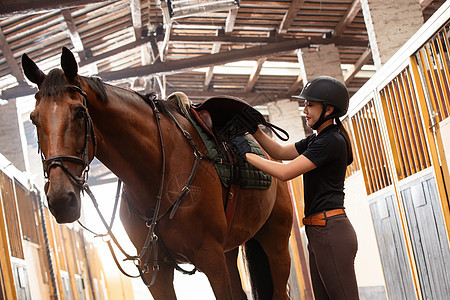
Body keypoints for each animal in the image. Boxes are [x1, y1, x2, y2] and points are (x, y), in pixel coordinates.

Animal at [22, 45, 294, 298]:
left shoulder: (211, 258)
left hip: (276, 243)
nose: (61, 199)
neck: (158, 174)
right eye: (34, 118)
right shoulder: (156, 270)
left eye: (80, 112)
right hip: (229, 251)